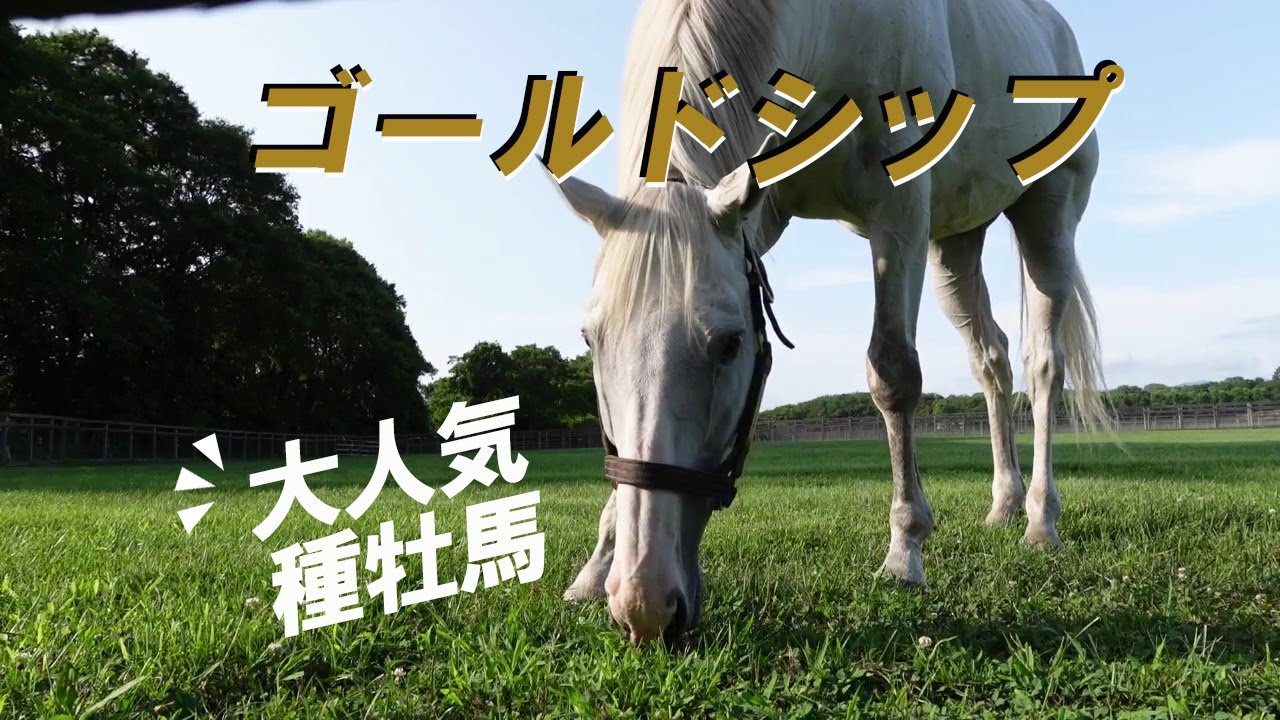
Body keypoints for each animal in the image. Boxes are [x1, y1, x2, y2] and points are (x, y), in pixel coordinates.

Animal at [550, 0, 1112, 644]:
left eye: (730, 345)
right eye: (591, 341)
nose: (644, 604)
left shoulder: (899, 209)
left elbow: (893, 375)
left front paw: (905, 551)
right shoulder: (759, 215)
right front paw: (595, 569)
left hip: (1048, 216)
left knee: (1044, 365)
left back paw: (1041, 521)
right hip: (955, 243)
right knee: (991, 361)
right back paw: (1004, 504)